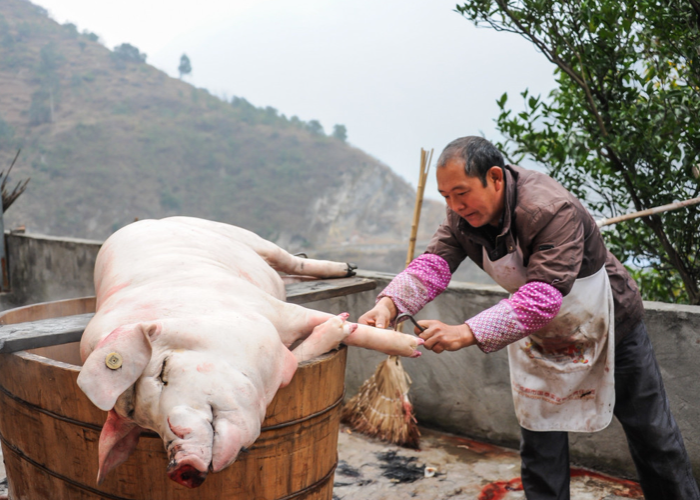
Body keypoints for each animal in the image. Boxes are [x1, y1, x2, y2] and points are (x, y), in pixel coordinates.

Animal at [78, 216, 424, 488]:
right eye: (142, 421)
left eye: (163, 370)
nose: (178, 467)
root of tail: (149, 221)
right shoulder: (279, 354)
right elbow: (301, 353)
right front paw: (339, 328)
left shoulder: (277, 311)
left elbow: (346, 327)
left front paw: (414, 347)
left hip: (242, 236)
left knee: (289, 259)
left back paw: (348, 269)